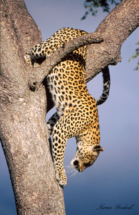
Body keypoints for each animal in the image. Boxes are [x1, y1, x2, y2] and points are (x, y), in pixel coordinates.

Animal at [24, 27, 110, 186]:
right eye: (88, 163)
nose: (80, 170)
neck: (89, 129)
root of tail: (80, 30)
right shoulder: (62, 130)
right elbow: (59, 154)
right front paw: (61, 175)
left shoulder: (60, 115)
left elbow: (50, 123)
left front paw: (46, 130)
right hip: (53, 46)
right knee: (32, 49)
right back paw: (28, 61)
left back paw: (36, 64)